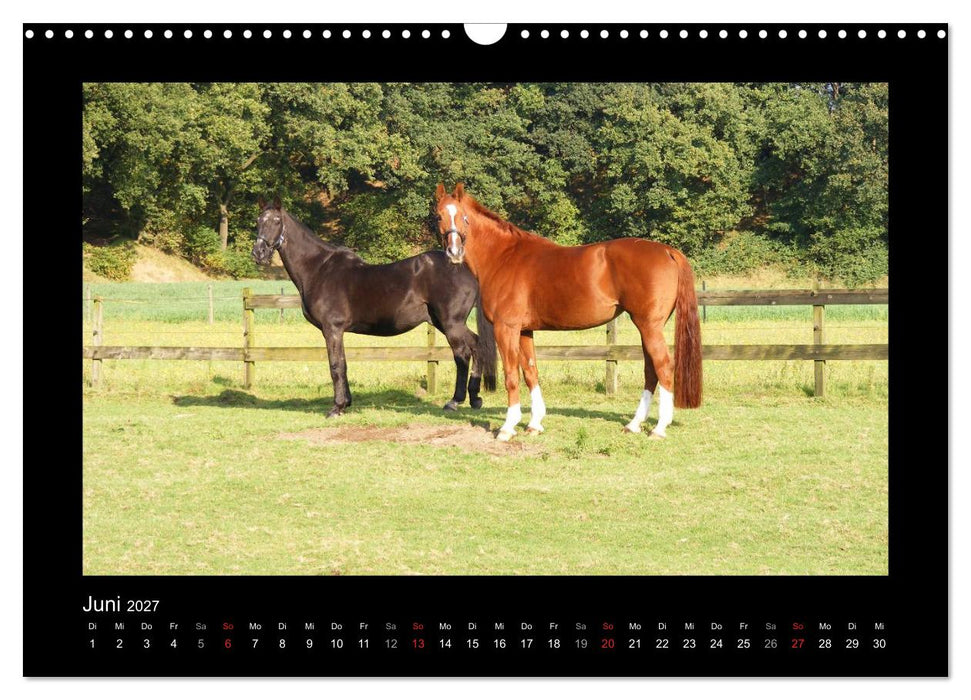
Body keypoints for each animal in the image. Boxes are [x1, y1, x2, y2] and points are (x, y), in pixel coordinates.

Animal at [251, 196, 496, 417]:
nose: (258, 253)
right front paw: (346, 403)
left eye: (276, 221)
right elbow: (343, 363)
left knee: (463, 353)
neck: (319, 269)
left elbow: (335, 366)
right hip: (444, 322)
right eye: (258, 221)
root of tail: (466, 268)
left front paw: (336, 408)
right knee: (476, 345)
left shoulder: (332, 329)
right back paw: (474, 398)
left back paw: (455, 401)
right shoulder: (337, 331)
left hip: (451, 323)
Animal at [433, 183, 702, 441]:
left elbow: (511, 375)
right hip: (647, 327)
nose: (454, 252)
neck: (503, 257)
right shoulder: (524, 331)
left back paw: (659, 428)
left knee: (664, 367)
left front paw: (508, 428)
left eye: (464, 217)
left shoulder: (506, 328)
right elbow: (530, 372)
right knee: (650, 370)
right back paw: (634, 424)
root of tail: (667, 251)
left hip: (649, 325)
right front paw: (534, 424)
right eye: (439, 216)